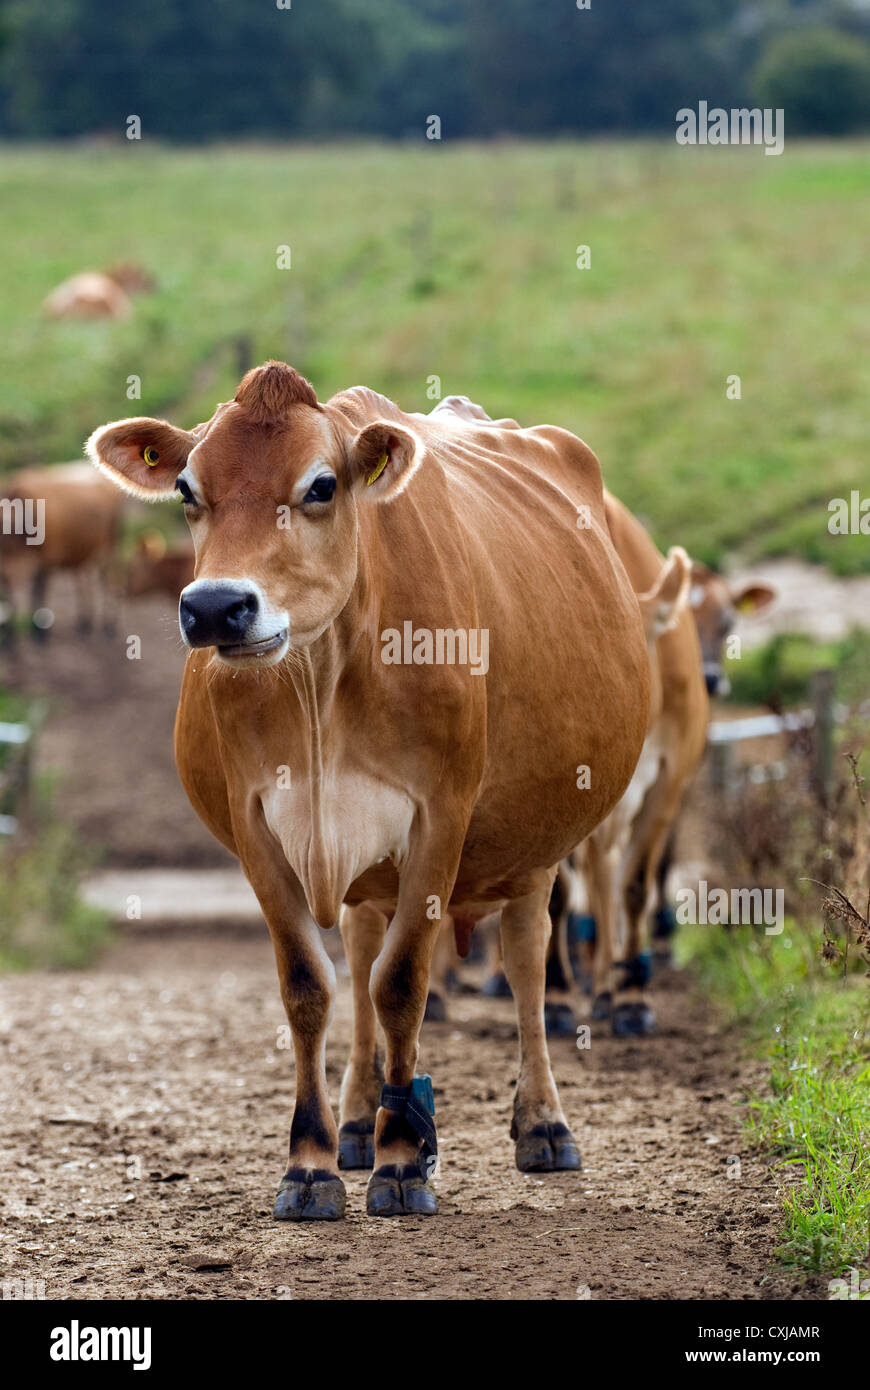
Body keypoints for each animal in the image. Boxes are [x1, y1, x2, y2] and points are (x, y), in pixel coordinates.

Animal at [0, 462, 124, 640]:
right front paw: (11, 636)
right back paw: (85, 621)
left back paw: (109, 625)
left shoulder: (45, 561)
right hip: (85, 547)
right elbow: (12, 598)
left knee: (110, 581)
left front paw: (40, 633)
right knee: (85, 580)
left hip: (111, 545)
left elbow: (38, 592)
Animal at [86, 360, 651, 1221]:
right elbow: (309, 987)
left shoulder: (441, 816)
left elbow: (402, 984)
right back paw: (357, 1120)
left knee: (526, 958)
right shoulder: (256, 826)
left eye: (321, 486)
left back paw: (541, 1122)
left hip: (538, 843)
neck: (321, 675)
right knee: (357, 950)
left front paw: (403, 1162)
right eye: (186, 488)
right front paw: (312, 1162)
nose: (216, 606)